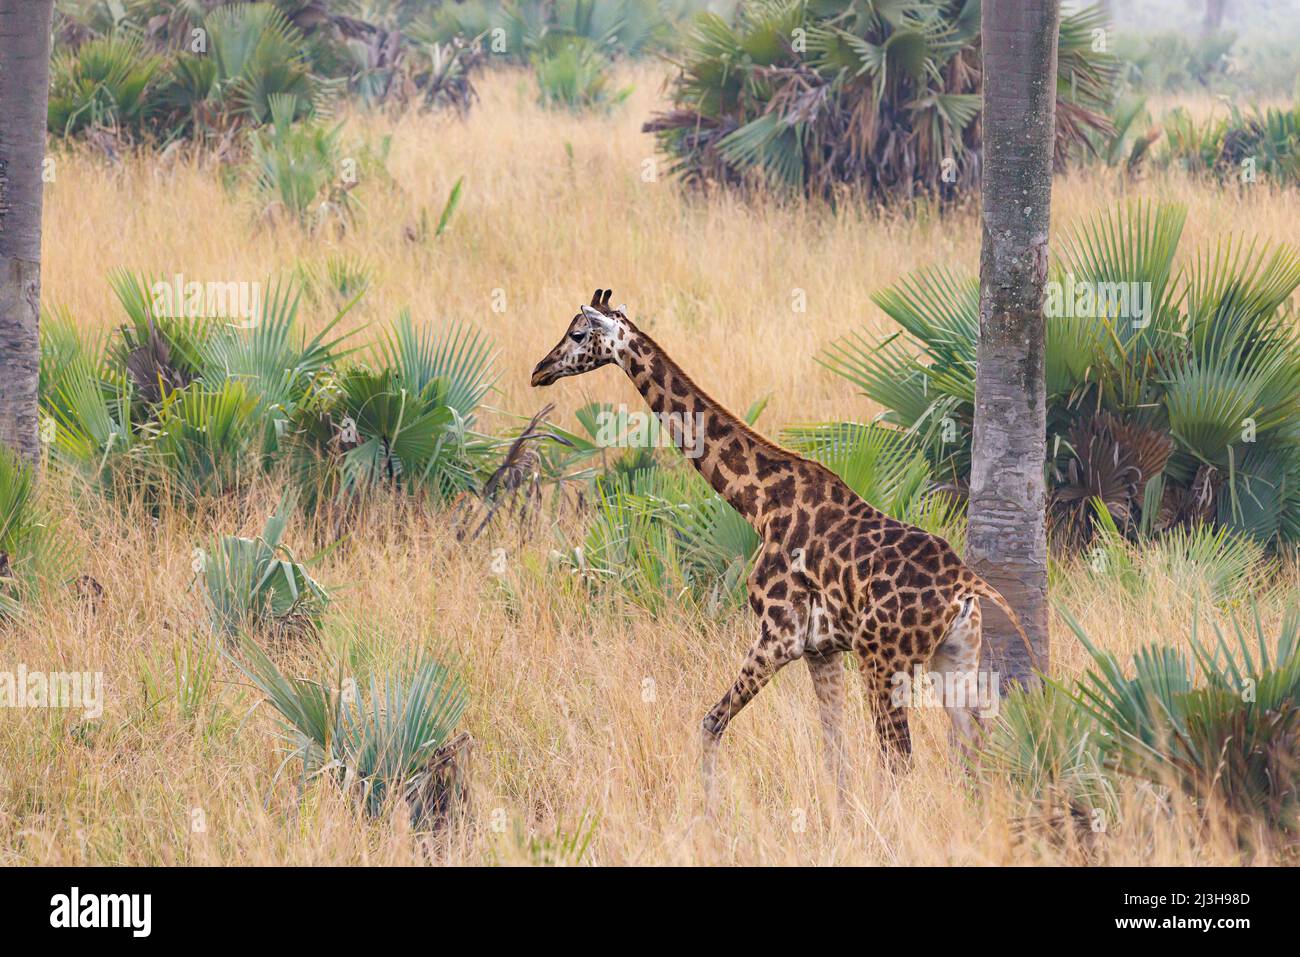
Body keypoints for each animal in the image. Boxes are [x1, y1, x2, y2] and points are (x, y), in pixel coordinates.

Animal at [531, 290, 1037, 795]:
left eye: (578, 333)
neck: (758, 504)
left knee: (898, 758)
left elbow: (711, 723)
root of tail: (965, 585)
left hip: (884, 658)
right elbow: (834, 752)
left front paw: (707, 806)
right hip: (952, 658)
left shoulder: (780, 635)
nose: (539, 370)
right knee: (974, 746)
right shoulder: (822, 649)